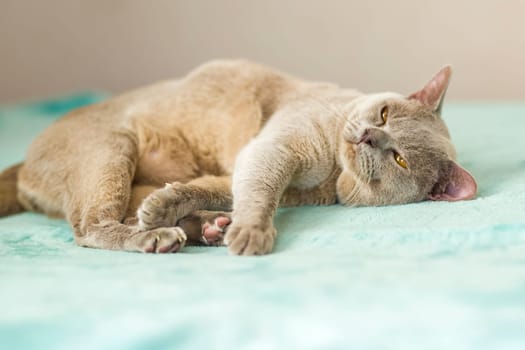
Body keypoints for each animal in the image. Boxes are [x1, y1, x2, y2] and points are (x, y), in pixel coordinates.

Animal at [0, 58, 476, 254]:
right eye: (384, 113)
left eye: (400, 159)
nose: (368, 136)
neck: (332, 177)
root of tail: (23, 165)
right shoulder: (276, 147)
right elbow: (260, 189)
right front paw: (251, 232)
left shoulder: (256, 169)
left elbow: (218, 189)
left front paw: (178, 208)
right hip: (111, 150)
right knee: (89, 228)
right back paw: (162, 236)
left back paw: (202, 228)